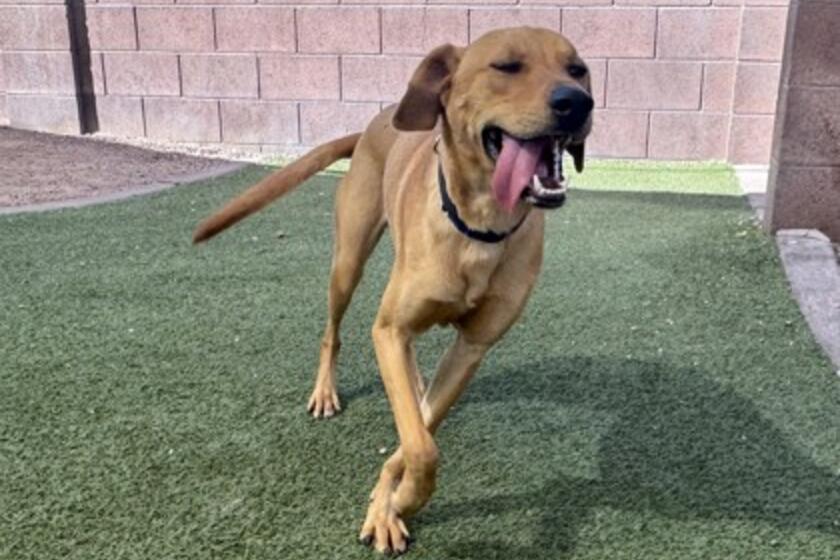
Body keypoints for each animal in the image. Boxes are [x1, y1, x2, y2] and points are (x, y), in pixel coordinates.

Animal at [193, 26, 593, 555]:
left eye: (578, 69)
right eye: (507, 66)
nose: (578, 102)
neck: (479, 229)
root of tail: (373, 124)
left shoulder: (472, 347)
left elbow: (417, 436)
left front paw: (389, 502)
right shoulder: (388, 330)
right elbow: (422, 447)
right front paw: (396, 502)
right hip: (348, 262)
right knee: (332, 332)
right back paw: (325, 391)